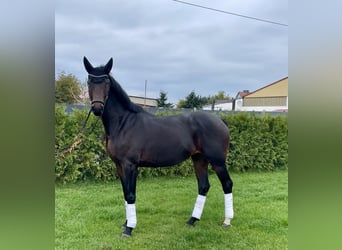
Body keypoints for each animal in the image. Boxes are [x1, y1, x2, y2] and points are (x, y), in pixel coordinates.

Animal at [83, 56, 234, 236]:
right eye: (89, 81)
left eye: (106, 82)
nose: (97, 108)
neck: (124, 123)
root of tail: (220, 120)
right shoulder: (119, 165)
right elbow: (125, 193)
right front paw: (126, 223)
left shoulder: (130, 165)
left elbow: (131, 195)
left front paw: (129, 228)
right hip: (199, 159)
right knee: (203, 186)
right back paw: (192, 220)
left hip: (217, 161)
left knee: (227, 184)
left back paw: (227, 221)